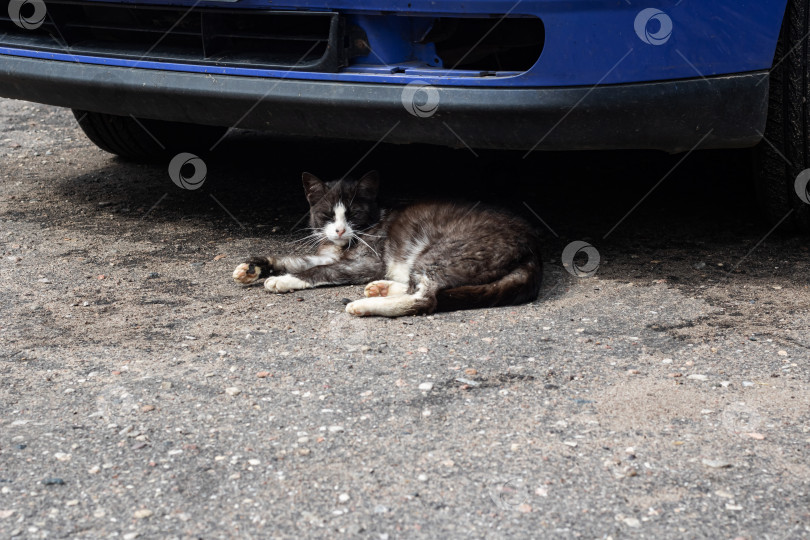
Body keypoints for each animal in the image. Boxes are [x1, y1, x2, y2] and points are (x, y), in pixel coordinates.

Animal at [230, 172, 540, 316]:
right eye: (328, 215)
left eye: (353, 215)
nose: (340, 230)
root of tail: (532, 245)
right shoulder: (329, 254)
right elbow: (294, 260)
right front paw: (254, 267)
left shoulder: (364, 263)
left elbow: (317, 271)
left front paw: (283, 280)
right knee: (421, 285)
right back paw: (382, 289)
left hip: (442, 251)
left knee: (425, 297)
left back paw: (364, 305)